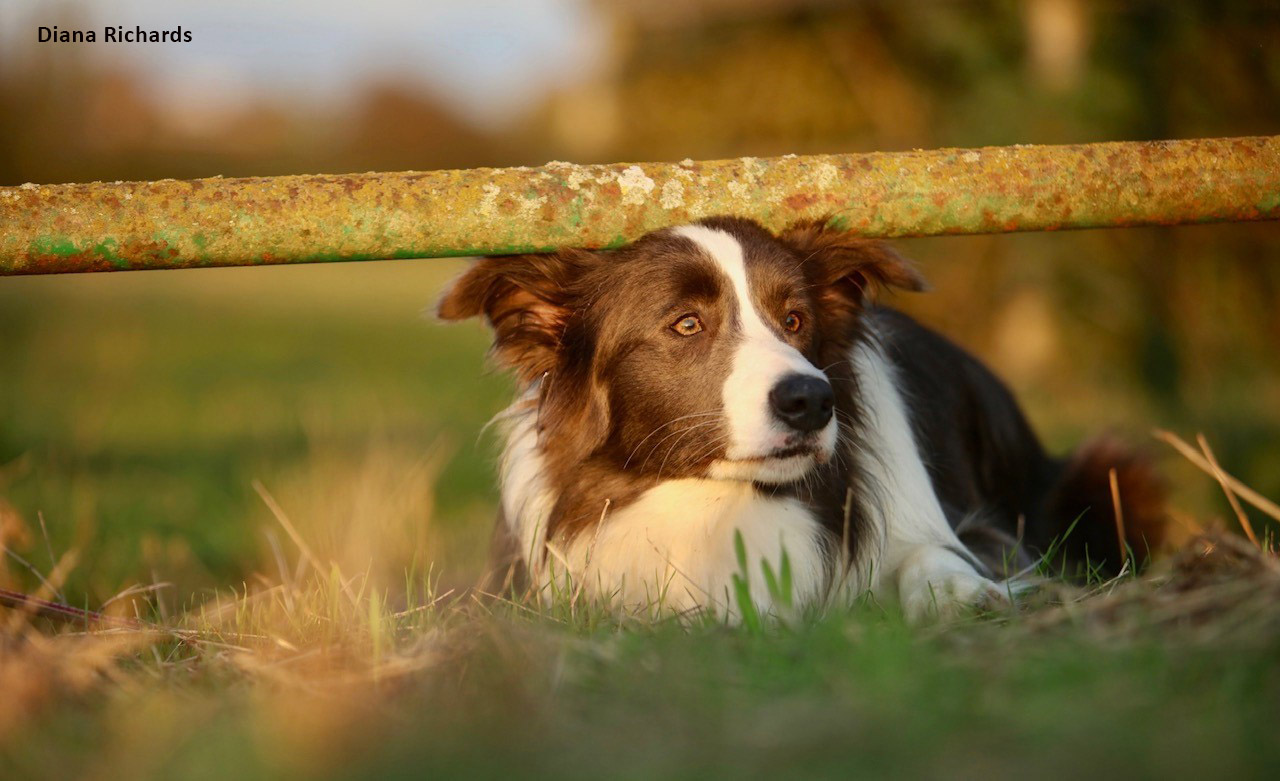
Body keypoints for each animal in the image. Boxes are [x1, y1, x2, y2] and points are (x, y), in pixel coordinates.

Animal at [437, 216, 1162, 617]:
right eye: (686, 323)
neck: (718, 500)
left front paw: (964, 595)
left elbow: (936, 557)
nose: (812, 400)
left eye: (794, 319)